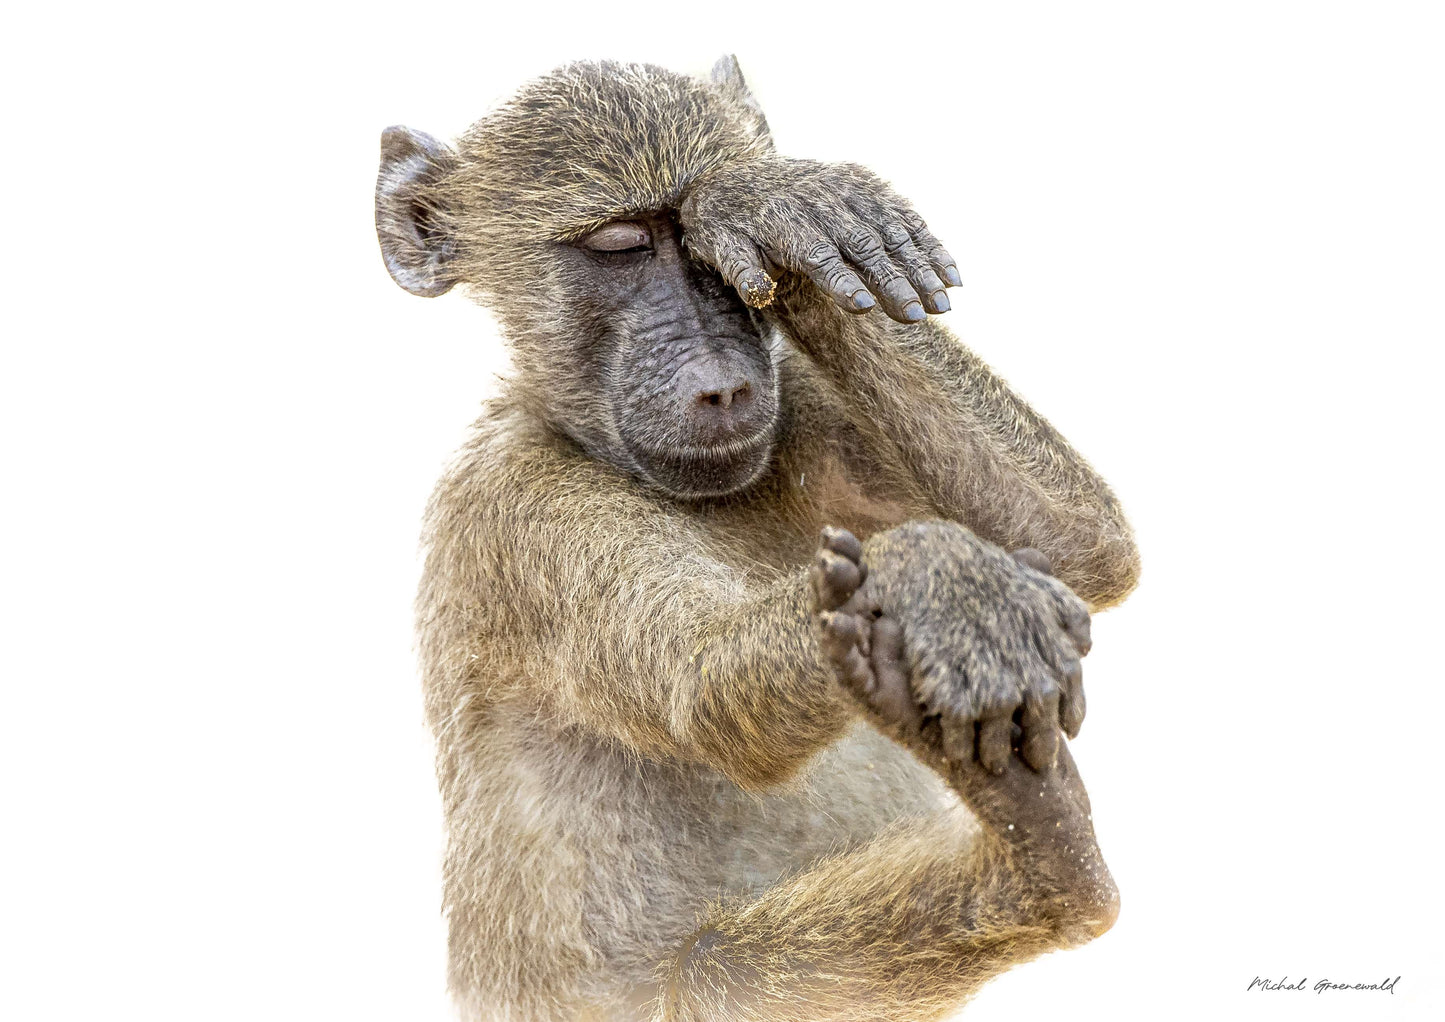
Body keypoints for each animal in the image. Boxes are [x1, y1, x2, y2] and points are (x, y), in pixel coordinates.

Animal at [376, 56, 1139, 1022]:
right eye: (619, 246)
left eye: (709, 264)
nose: (724, 387)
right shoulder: (515, 511)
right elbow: (701, 687)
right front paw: (945, 576)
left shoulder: (800, 409)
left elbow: (1081, 541)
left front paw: (770, 204)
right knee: (716, 972)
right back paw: (1046, 851)